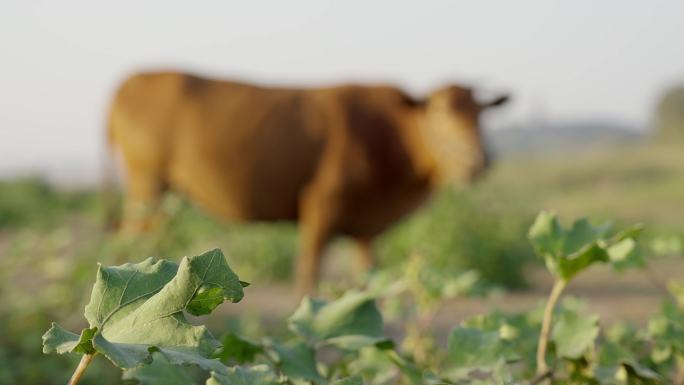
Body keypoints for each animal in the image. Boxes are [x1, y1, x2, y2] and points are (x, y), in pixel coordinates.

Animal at [108, 71, 508, 292]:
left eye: (480, 114)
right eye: (439, 114)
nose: (477, 161)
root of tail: (131, 82)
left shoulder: (369, 228)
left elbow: (367, 277)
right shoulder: (320, 203)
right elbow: (309, 271)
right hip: (147, 182)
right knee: (135, 234)